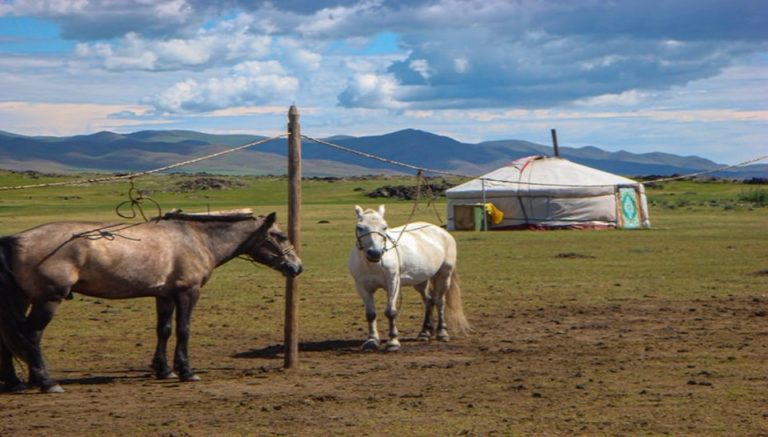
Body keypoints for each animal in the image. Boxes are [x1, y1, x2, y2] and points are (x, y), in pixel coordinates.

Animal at [0, 208, 302, 392]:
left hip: (22, 299)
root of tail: (14, 239)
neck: (197, 239)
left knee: (10, 336)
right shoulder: (188, 293)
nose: (297, 267)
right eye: (280, 235)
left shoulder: (164, 296)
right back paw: (46, 382)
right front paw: (186, 370)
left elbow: (164, 331)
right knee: (31, 334)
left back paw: (17, 382)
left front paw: (164, 370)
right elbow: (183, 330)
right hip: (48, 301)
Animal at [348, 204, 468, 350]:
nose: (375, 253)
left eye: (384, 227)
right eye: (360, 227)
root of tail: (442, 231)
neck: (373, 265)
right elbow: (370, 314)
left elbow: (391, 312)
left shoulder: (393, 284)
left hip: (444, 275)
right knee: (429, 301)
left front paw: (393, 341)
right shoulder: (362, 287)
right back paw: (424, 333)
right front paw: (372, 340)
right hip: (421, 281)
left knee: (439, 301)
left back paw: (442, 333)